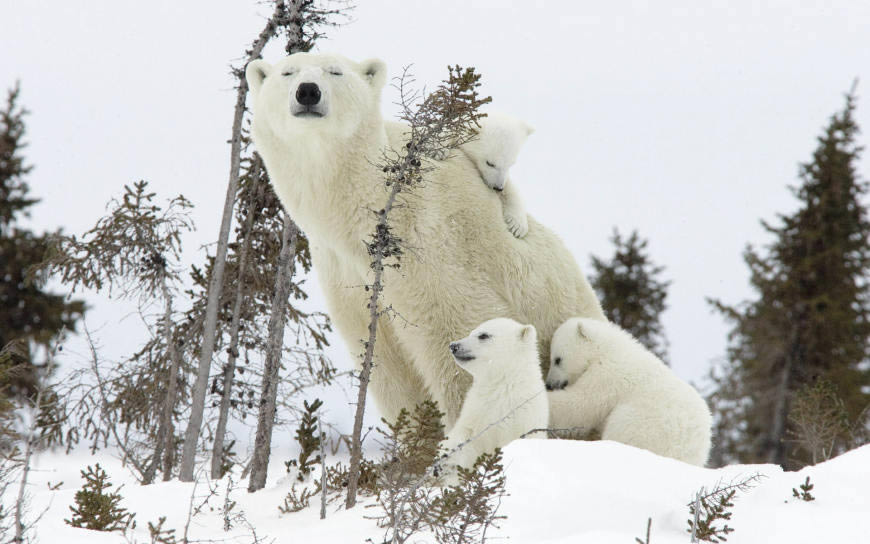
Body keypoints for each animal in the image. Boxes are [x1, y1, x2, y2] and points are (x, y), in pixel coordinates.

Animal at [247, 53, 608, 428]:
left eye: (335, 71)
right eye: (287, 72)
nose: (307, 91)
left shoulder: (432, 246)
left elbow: (459, 340)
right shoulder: (344, 273)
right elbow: (389, 369)